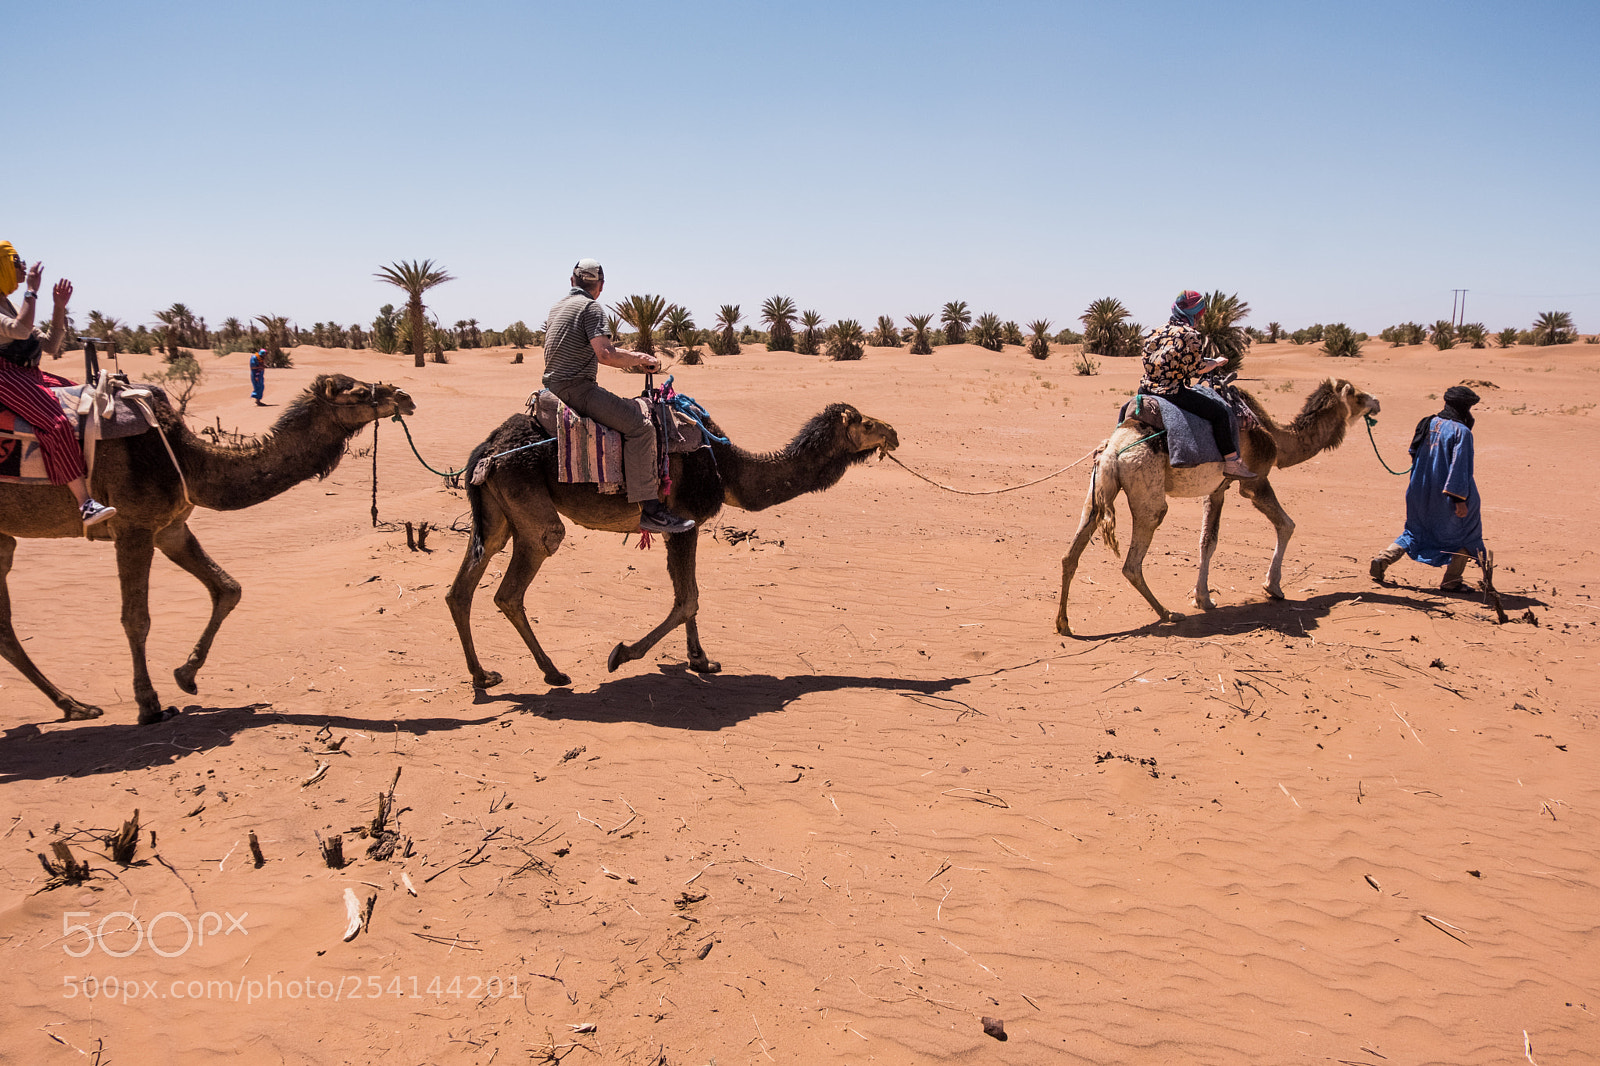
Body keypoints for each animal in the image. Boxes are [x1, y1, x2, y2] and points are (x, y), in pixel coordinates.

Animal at [0, 373, 414, 723]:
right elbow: (136, 618)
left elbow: (228, 588)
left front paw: (186, 675)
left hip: (4, 537)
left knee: (4, 625)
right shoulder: (133, 527)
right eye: (358, 392)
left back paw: (74, 706)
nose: (405, 396)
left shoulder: (170, 528)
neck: (188, 459)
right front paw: (149, 705)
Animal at [447, 402, 898, 688]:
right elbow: (688, 599)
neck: (728, 468)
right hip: (529, 506)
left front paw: (702, 661)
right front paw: (621, 654)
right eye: (865, 422)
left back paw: (483, 676)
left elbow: (689, 596)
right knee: (514, 584)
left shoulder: (676, 526)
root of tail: (486, 449)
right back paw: (553, 674)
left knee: (461, 590)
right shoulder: (686, 521)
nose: (894, 432)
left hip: (496, 514)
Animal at [1055, 378, 1380, 636]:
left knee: (1071, 553)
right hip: (1146, 489)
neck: (1277, 438)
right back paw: (1168, 614)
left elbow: (1206, 541)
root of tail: (1113, 449)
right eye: (1357, 395)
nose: (1376, 402)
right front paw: (1271, 588)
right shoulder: (1254, 481)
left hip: (1097, 487)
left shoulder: (1217, 489)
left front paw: (1203, 597)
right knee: (1133, 562)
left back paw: (1064, 623)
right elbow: (1286, 525)